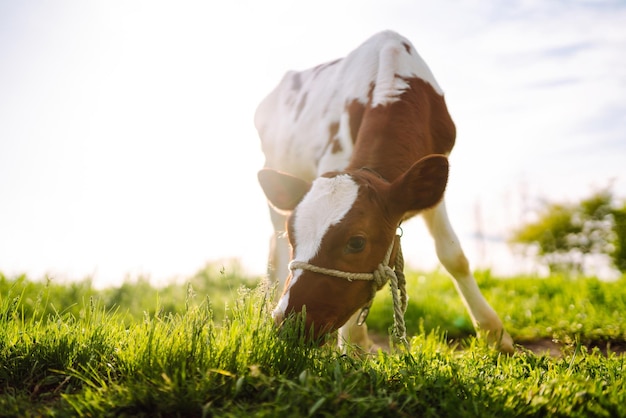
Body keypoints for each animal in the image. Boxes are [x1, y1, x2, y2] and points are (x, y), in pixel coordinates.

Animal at [254, 31, 512, 354]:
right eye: (294, 237)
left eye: (356, 242)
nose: (288, 324)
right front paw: (353, 348)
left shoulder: (431, 184)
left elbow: (453, 256)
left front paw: (494, 334)